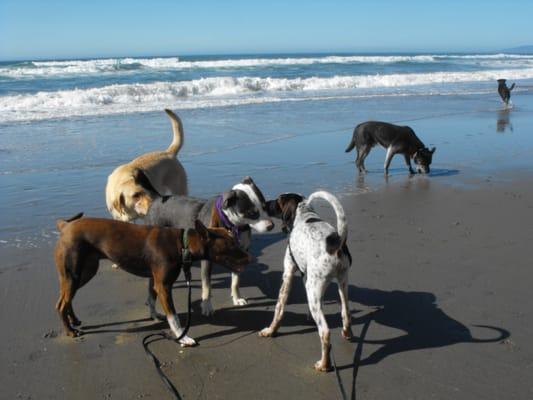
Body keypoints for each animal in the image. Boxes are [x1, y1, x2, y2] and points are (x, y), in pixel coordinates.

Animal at [54, 214, 251, 346]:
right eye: (231, 246)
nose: (249, 258)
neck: (182, 244)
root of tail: (65, 226)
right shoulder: (163, 285)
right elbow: (174, 317)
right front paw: (183, 337)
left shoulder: (154, 281)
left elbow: (151, 298)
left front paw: (154, 316)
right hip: (73, 274)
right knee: (61, 304)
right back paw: (70, 331)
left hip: (84, 273)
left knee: (65, 299)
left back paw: (74, 320)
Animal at [143, 177, 272, 318]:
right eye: (252, 213)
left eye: (265, 206)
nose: (271, 226)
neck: (232, 225)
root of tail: (158, 198)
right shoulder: (207, 260)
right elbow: (206, 286)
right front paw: (207, 306)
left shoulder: (239, 255)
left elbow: (236, 281)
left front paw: (237, 298)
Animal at [260, 191, 352, 372]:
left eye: (278, 201)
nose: (265, 203)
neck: (304, 215)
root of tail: (336, 243)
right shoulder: (305, 276)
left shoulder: (288, 274)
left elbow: (279, 308)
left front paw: (271, 330)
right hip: (340, 284)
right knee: (346, 315)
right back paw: (346, 333)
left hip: (313, 288)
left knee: (325, 332)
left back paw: (324, 364)